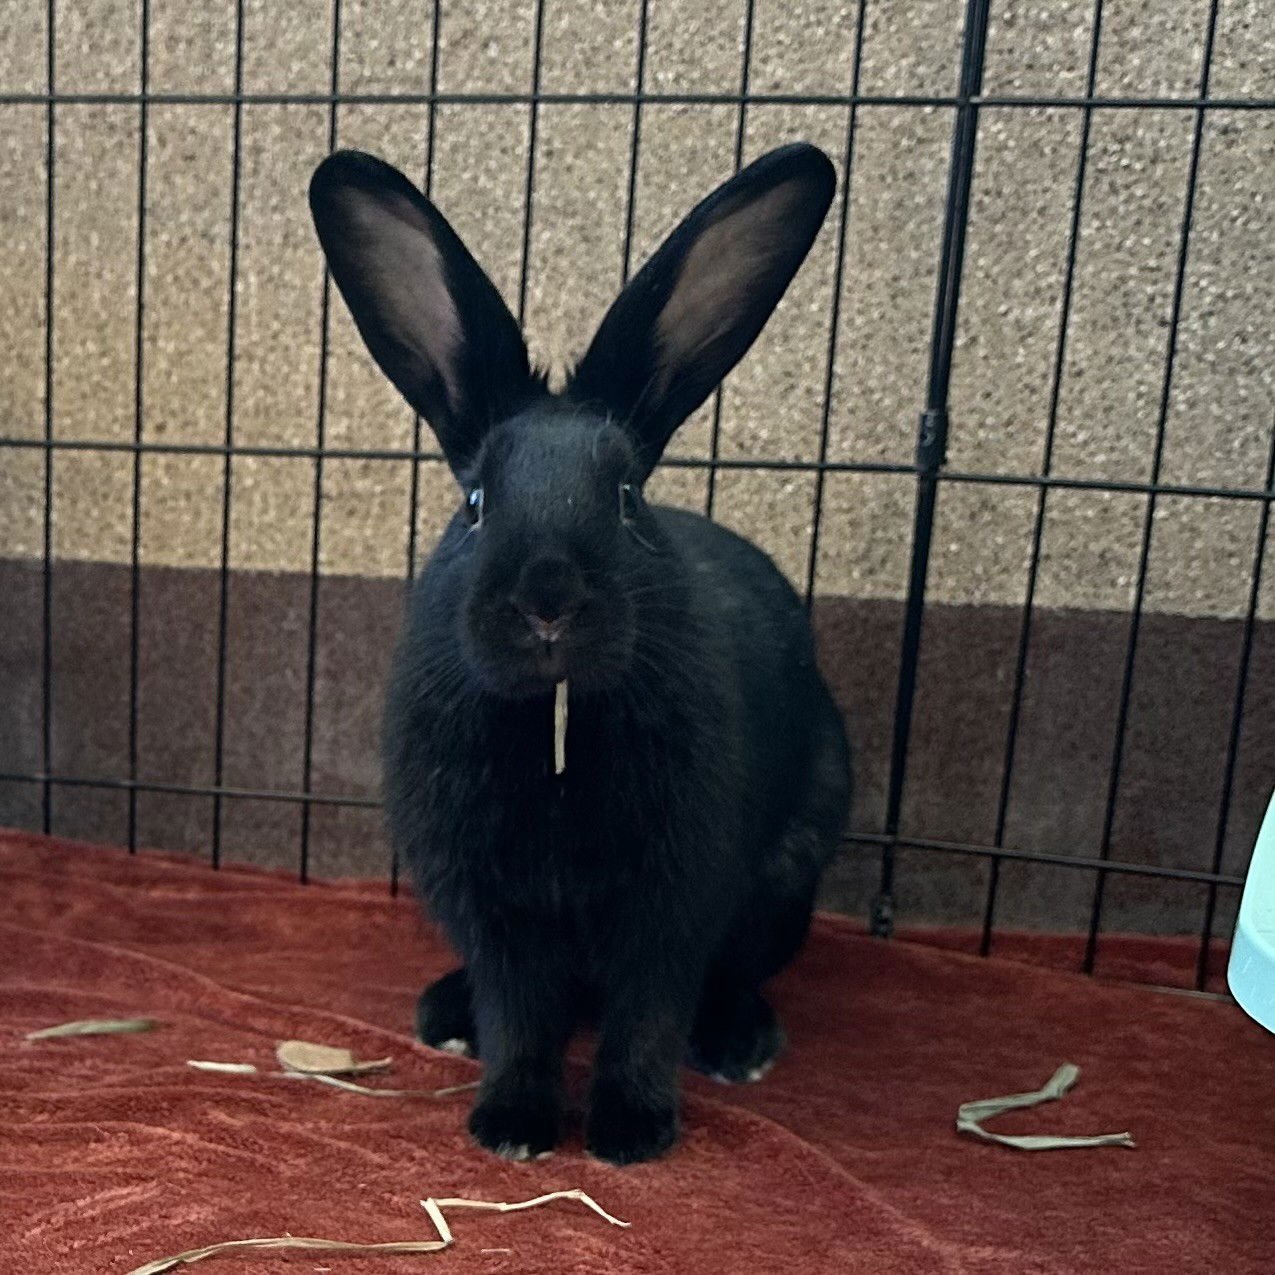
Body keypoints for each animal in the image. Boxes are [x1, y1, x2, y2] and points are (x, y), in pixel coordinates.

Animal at [308, 141, 852, 1166]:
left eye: (628, 497)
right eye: (475, 503)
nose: (548, 598)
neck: (556, 724)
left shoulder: (670, 899)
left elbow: (645, 1016)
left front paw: (630, 1133)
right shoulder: (498, 913)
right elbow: (522, 1017)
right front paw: (513, 1125)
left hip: (785, 882)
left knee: (726, 979)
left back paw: (739, 1041)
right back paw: (446, 1014)